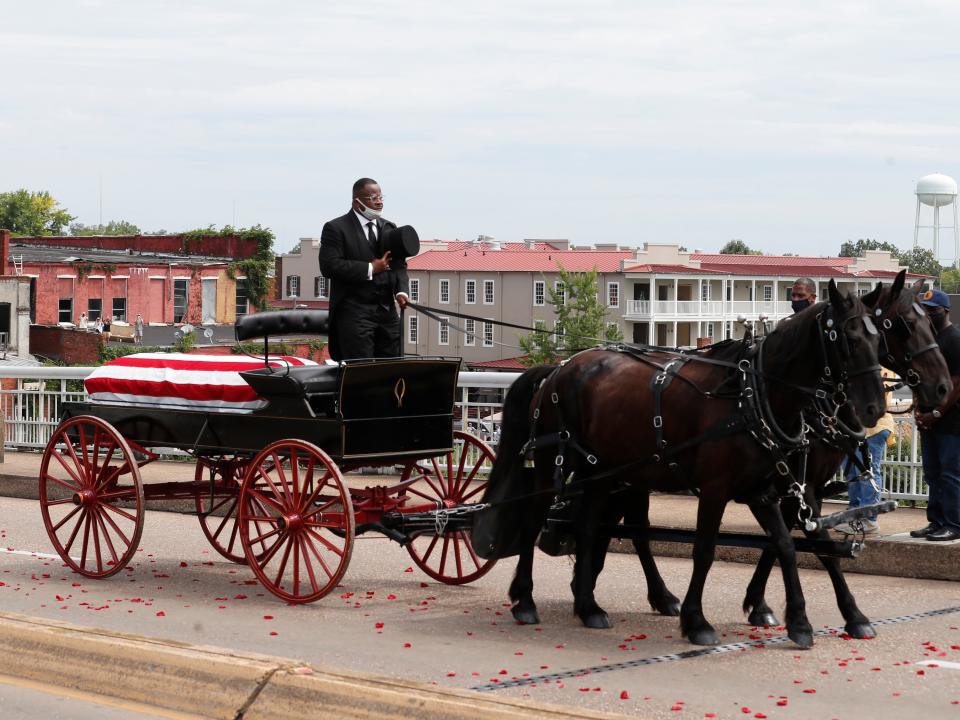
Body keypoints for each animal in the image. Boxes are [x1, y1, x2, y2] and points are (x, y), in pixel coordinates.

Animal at [472, 280, 884, 648]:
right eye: (848, 340)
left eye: (878, 338)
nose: (873, 409)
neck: (750, 395)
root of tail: (558, 368)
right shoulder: (720, 489)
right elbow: (705, 551)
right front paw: (696, 621)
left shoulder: (764, 490)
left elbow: (786, 544)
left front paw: (803, 620)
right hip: (553, 463)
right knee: (534, 520)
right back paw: (525, 600)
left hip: (603, 472)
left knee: (590, 528)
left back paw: (589, 606)